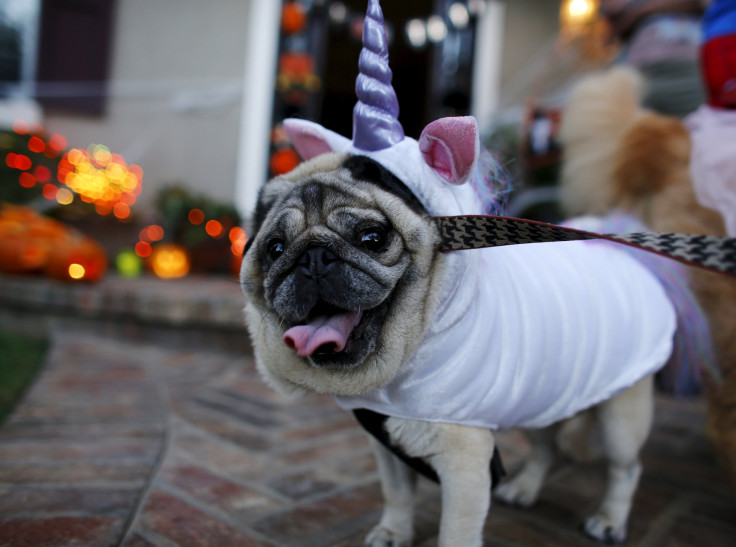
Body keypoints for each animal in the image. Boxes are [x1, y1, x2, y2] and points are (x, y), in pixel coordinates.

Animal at [240, 1, 684, 544]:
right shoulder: (388, 440)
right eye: (276, 248)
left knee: (626, 467)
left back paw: (610, 518)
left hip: (621, 415)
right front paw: (393, 530)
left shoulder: (465, 464)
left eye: (372, 238)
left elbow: (457, 529)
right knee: (546, 446)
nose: (313, 258)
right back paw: (526, 488)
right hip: (544, 391)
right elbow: (397, 494)